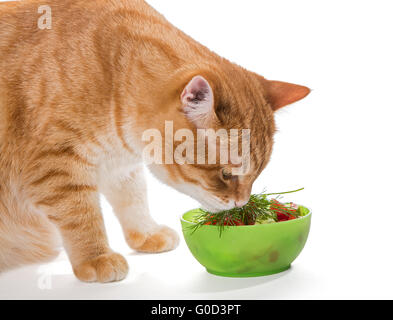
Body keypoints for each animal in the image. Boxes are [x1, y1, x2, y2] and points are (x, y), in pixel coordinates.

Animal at [0, 0, 310, 282]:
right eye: (226, 174)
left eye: (257, 174)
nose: (241, 204)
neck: (111, 75)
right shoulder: (55, 167)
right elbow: (81, 215)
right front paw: (96, 256)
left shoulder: (120, 165)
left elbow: (134, 197)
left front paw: (146, 233)